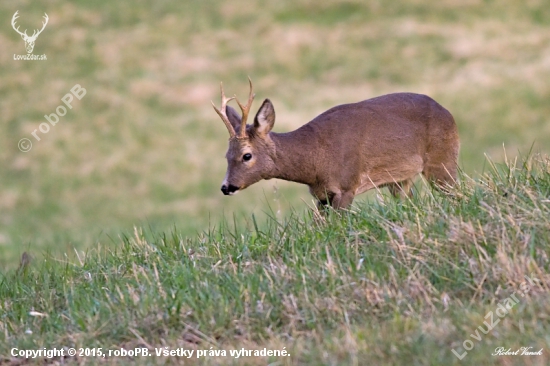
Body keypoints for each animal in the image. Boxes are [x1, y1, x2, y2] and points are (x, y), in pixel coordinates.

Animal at [212, 79, 462, 209]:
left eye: (246, 155)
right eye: (226, 155)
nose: (226, 187)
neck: (315, 158)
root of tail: (448, 113)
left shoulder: (346, 185)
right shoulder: (322, 196)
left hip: (442, 160)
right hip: (400, 180)